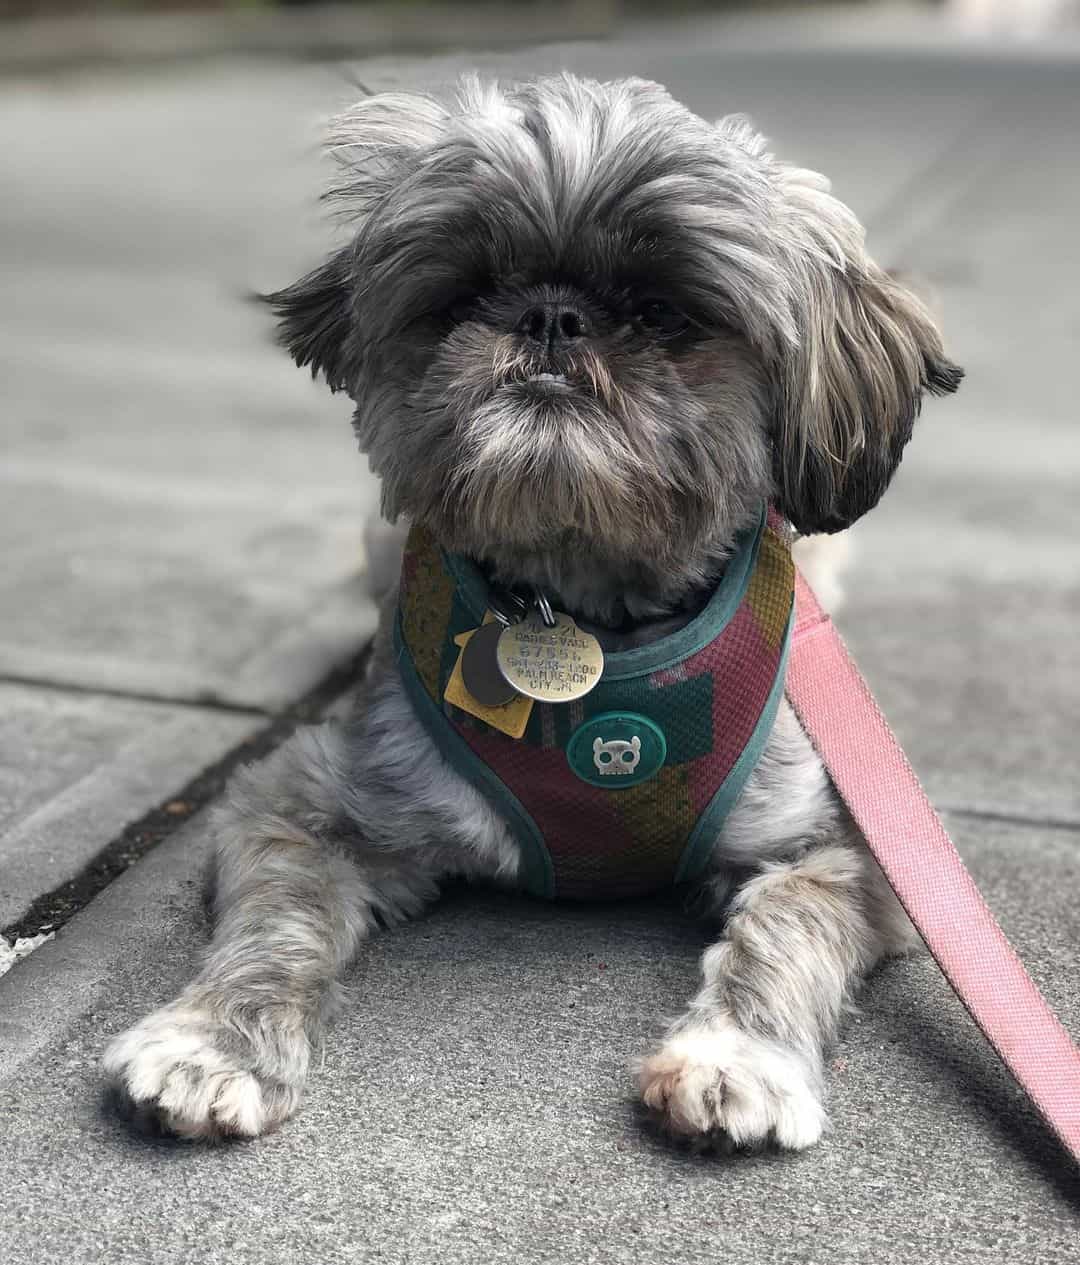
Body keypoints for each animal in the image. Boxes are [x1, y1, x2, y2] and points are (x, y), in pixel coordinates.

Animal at [103, 74, 966, 1153]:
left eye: (661, 311)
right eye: (468, 292)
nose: (551, 316)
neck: (582, 611)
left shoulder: (846, 849)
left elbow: (783, 932)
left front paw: (738, 1056)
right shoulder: (300, 804)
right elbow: (277, 923)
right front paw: (217, 1040)